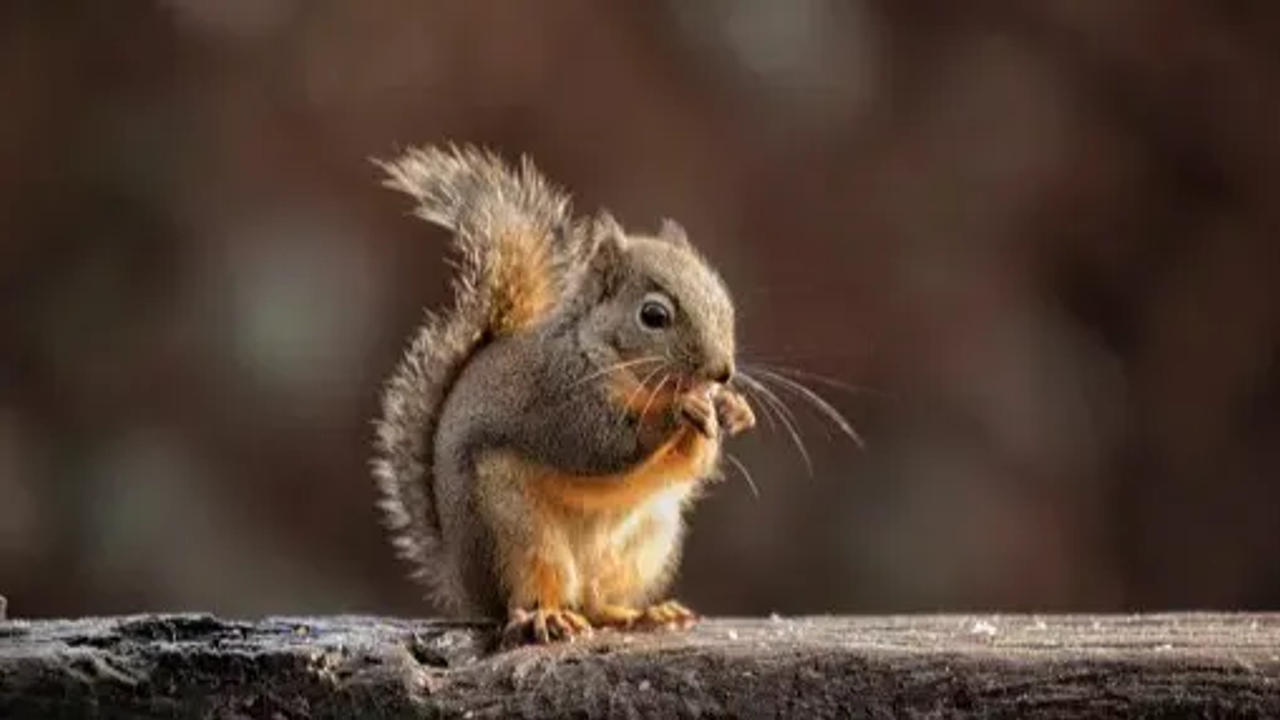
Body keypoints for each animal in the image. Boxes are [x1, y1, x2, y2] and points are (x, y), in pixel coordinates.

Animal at [368, 142, 747, 640]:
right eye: (653, 316)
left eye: (723, 301)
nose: (722, 373)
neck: (608, 358)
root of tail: (464, 586)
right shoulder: (558, 396)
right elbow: (601, 445)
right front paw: (679, 412)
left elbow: (688, 466)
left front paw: (729, 410)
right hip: (515, 535)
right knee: (527, 599)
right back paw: (545, 616)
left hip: (645, 544)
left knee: (595, 603)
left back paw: (642, 613)